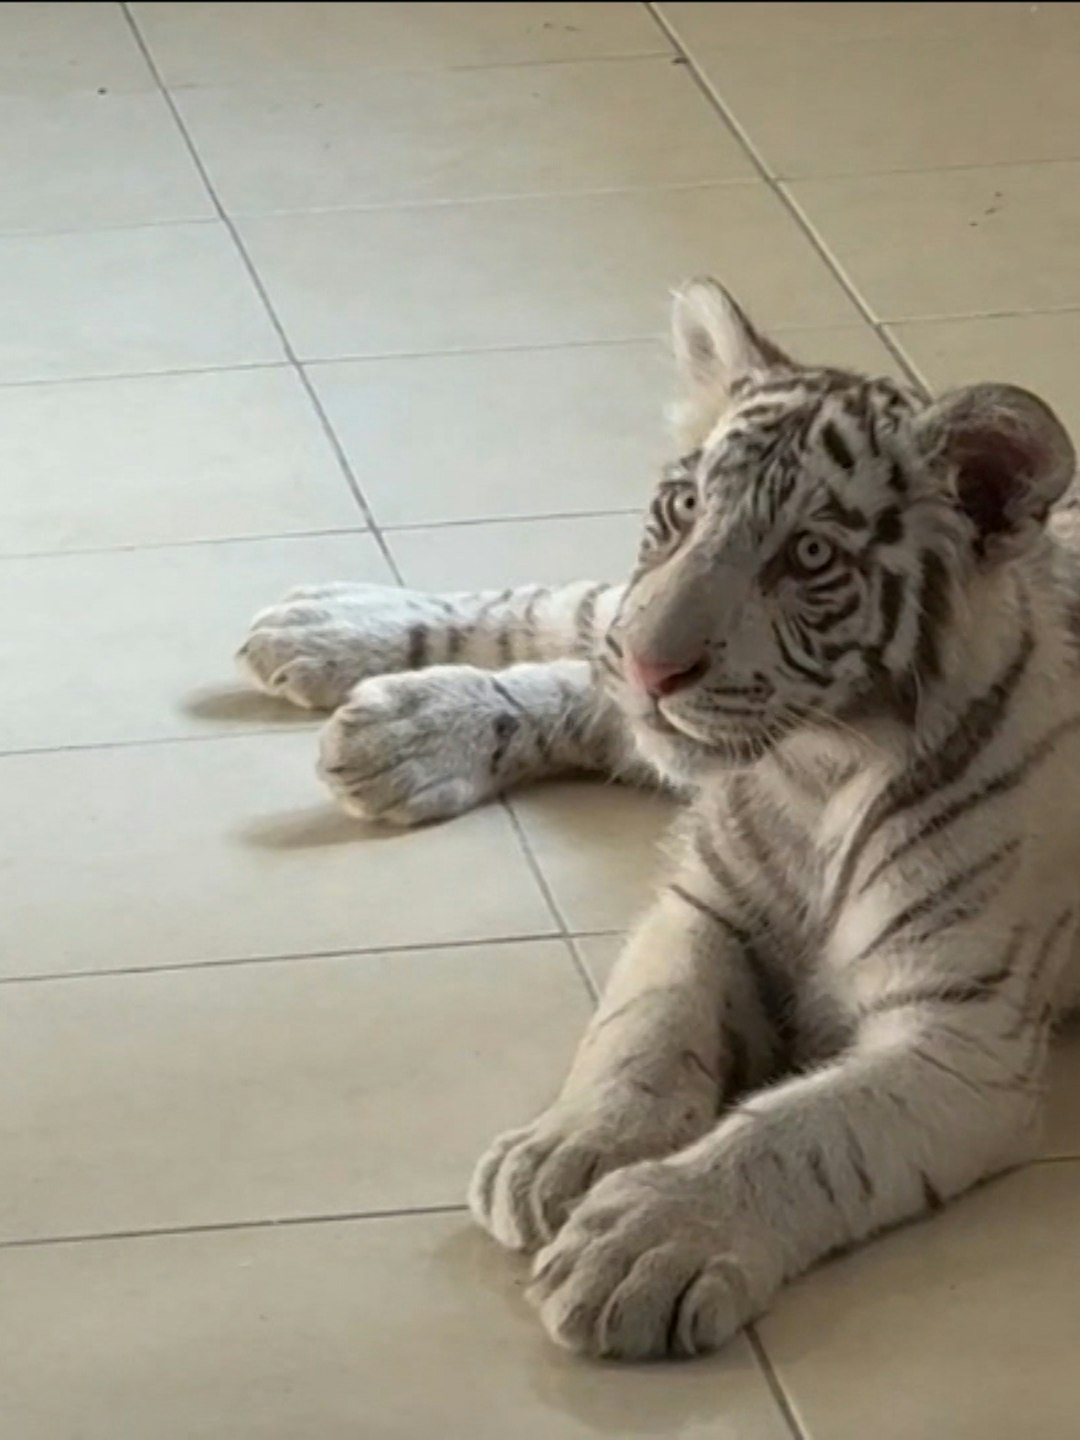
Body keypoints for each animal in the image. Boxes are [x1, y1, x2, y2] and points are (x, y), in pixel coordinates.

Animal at [237, 277, 1080, 1362]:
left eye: (809, 554)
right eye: (683, 510)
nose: (650, 666)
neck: (817, 771)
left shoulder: (961, 1035)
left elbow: (802, 1136)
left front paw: (645, 1240)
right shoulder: (703, 909)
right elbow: (642, 1032)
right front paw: (569, 1151)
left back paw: (400, 723)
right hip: (606, 622)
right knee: (566, 611)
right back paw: (342, 645)